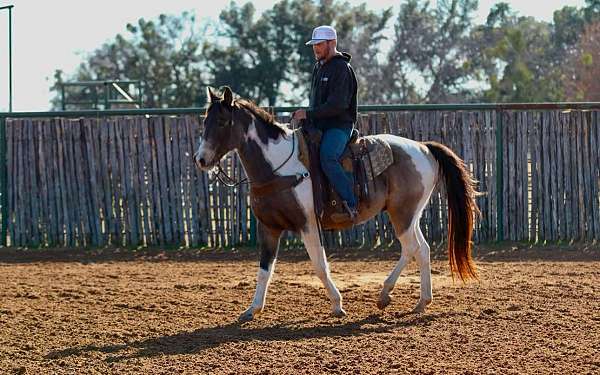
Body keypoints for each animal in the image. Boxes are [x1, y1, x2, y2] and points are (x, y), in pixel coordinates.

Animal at [195, 86, 480, 324]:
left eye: (222, 121)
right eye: (204, 121)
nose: (201, 159)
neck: (277, 166)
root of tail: (424, 148)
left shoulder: (307, 224)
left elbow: (320, 265)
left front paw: (337, 305)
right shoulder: (269, 227)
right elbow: (265, 268)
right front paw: (252, 309)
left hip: (402, 214)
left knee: (412, 249)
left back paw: (388, 295)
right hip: (410, 215)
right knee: (422, 249)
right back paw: (420, 301)